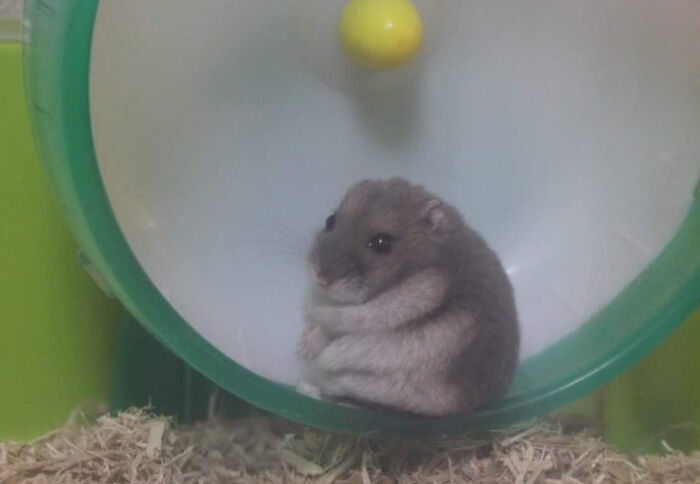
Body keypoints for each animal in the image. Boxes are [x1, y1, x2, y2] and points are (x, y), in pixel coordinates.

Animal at [298, 177, 519, 417]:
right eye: (330, 220)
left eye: (382, 243)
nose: (322, 278)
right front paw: (304, 350)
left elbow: (338, 320)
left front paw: (313, 354)